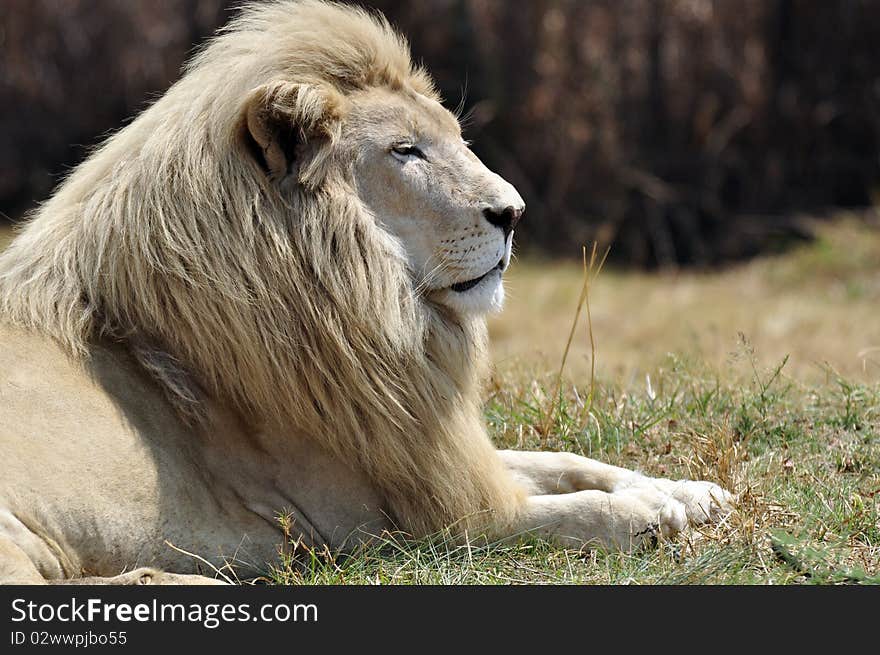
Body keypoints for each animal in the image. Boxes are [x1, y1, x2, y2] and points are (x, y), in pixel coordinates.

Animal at [0, 0, 728, 584]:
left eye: (455, 139)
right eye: (406, 151)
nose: (514, 213)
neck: (379, 312)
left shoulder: (421, 452)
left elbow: (564, 460)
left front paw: (691, 492)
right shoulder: (398, 525)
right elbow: (571, 511)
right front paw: (651, 513)